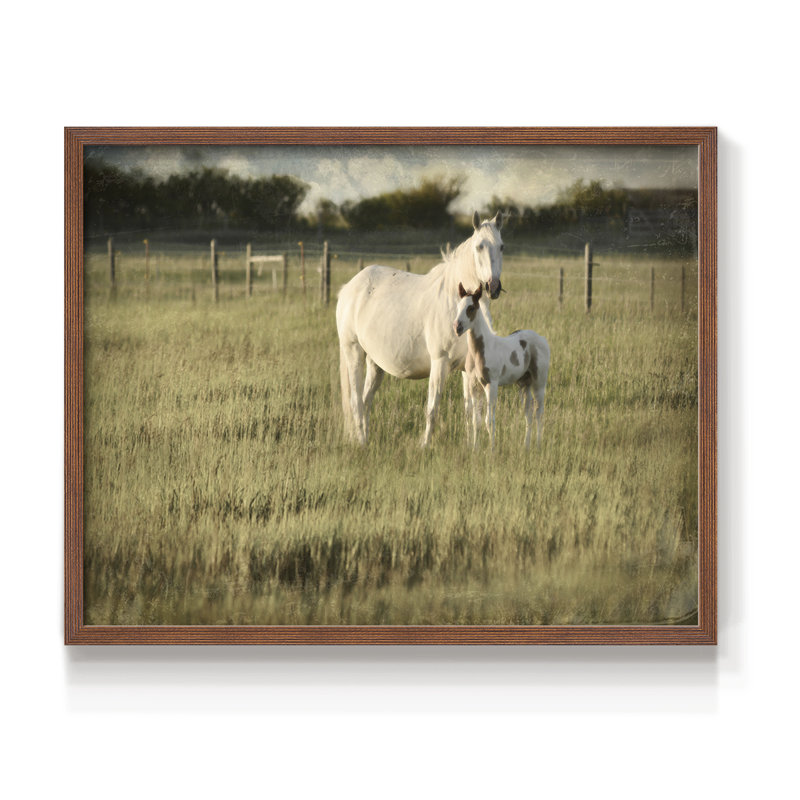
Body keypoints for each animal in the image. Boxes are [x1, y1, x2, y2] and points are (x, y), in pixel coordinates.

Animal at [336, 211, 504, 446]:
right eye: (479, 246)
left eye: (501, 246)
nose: (493, 287)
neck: (454, 302)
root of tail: (348, 288)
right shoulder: (439, 362)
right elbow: (432, 408)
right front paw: (425, 445)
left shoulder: (467, 368)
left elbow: (471, 411)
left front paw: (471, 445)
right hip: (353, 352)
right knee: (355, 401)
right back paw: (361, 441)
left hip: (375, 363)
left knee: (366, 399)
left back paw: (366, 439)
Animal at [454, 283, 550, 450]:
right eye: (458, 306)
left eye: (471, 308)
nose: (457, 327)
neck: (480, 351)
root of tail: (542, 339)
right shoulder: (474, 386)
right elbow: (476, 421)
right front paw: (475, 449)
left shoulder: (491, 385)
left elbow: (489, 420)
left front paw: (492, 450)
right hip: (524, 384)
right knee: (528, 412)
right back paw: (526, 446)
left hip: (539, 382)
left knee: (539, 412)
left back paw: (538, 445)